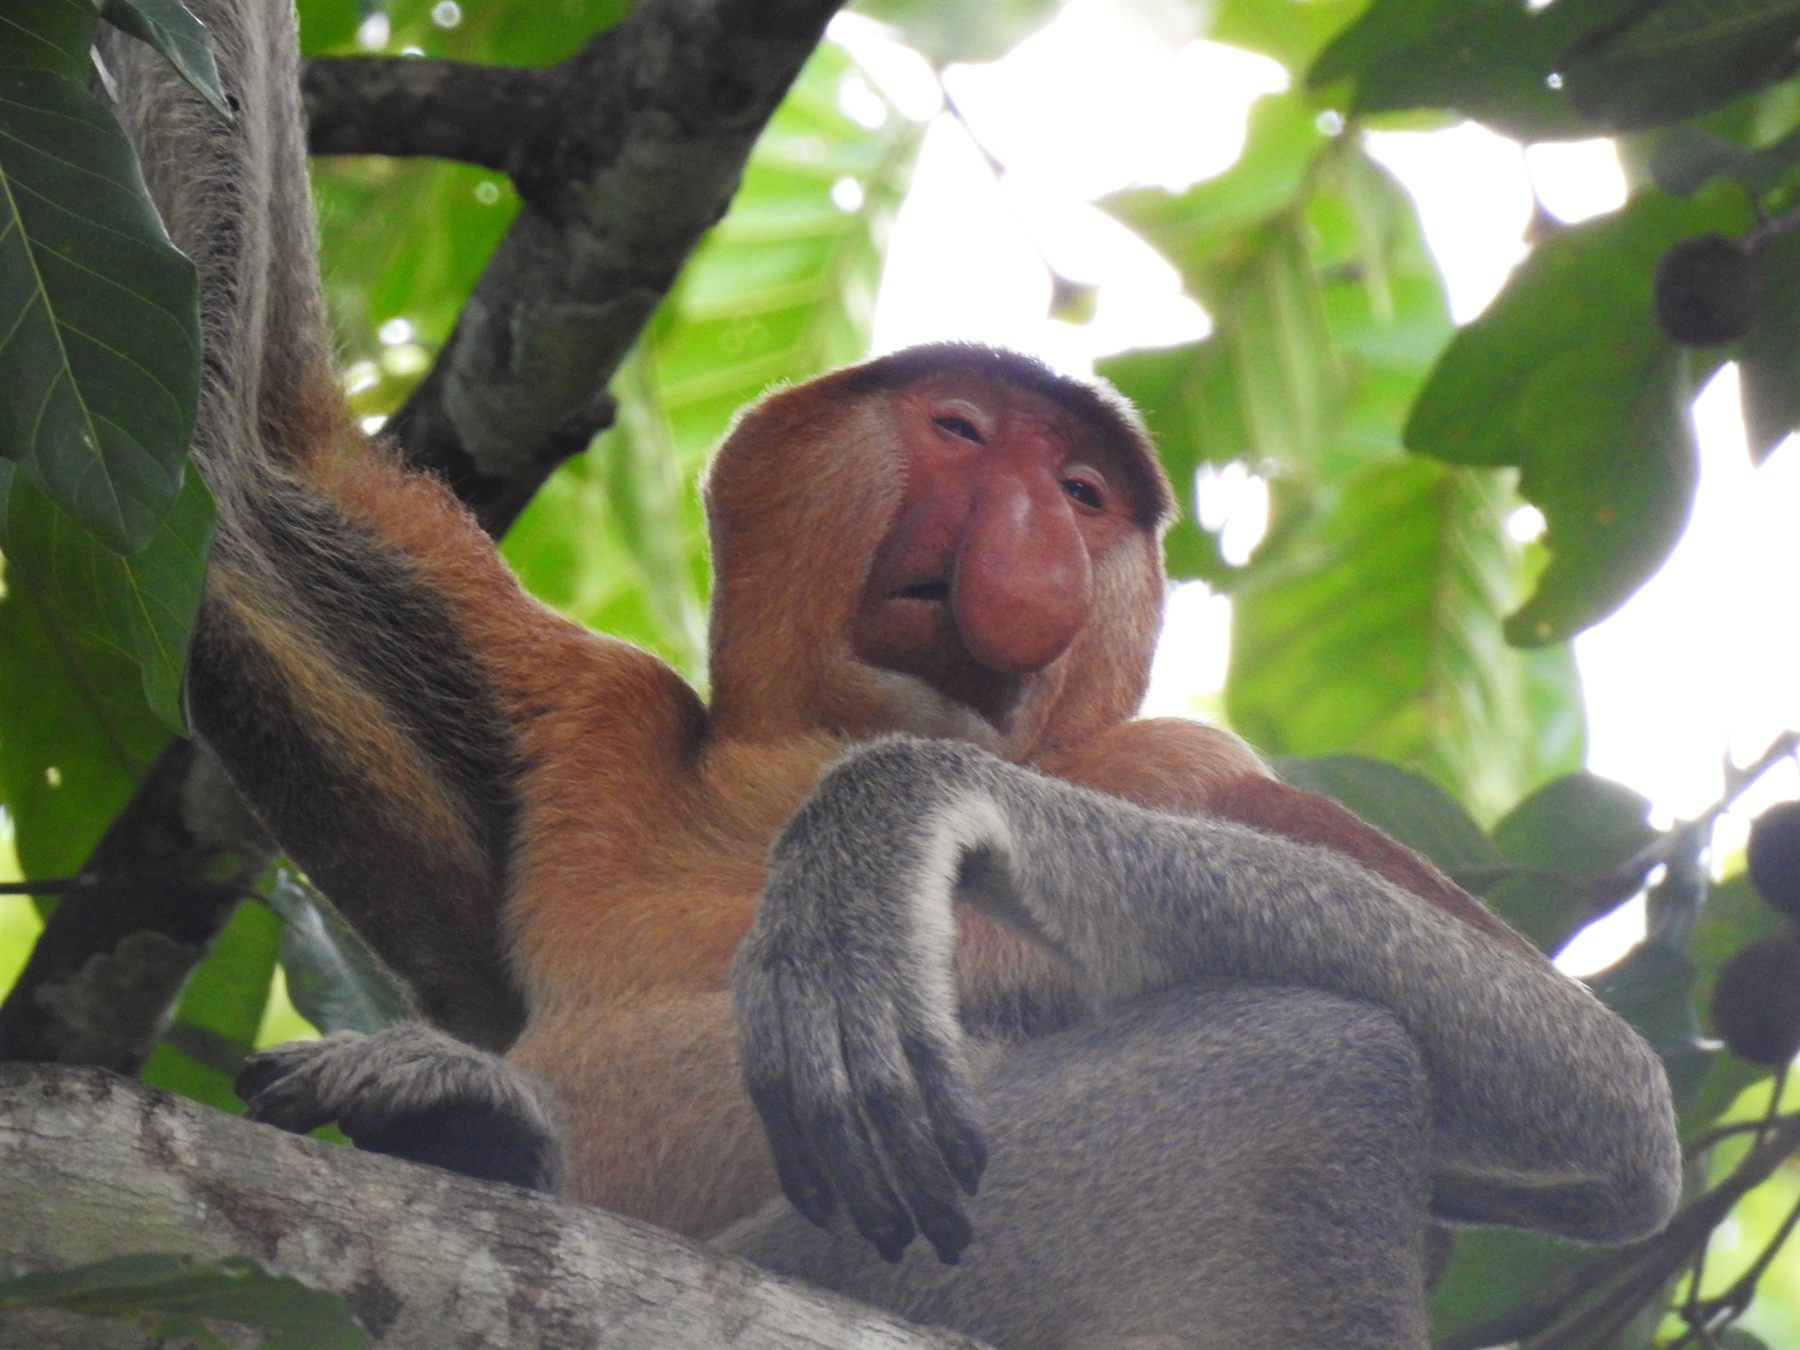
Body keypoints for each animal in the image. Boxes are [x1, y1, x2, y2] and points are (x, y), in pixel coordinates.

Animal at [103, 3, 1681, 1346]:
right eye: (964, 430)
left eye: (1086, 493)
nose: (1035, 546)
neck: (805, 745)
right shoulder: (589, 711)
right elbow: (253, 455)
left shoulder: (1183, 764)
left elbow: (1601, 1093)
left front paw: (879, 839)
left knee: (1315, 1060)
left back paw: (493, 1138)